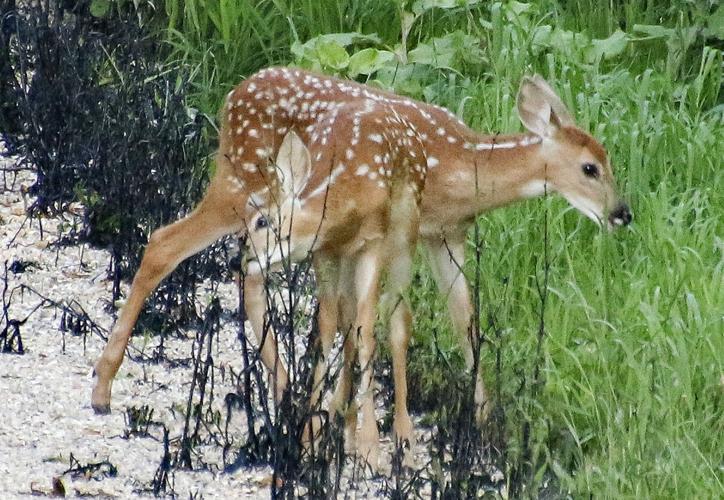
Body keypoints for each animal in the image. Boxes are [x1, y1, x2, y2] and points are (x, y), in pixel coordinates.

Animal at [91, 66, 631, 467]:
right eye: (590, 168)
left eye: (609, 161)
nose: (622, 213)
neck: (462, 167)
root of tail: (232, 94)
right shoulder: (406, 234)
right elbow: (388, 324)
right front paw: (385, 436)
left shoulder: (445, 234)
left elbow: (462, 320)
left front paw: (481, 424)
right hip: (242, 181)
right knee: (167, 243)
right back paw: (103, 388)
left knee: (241, 273)